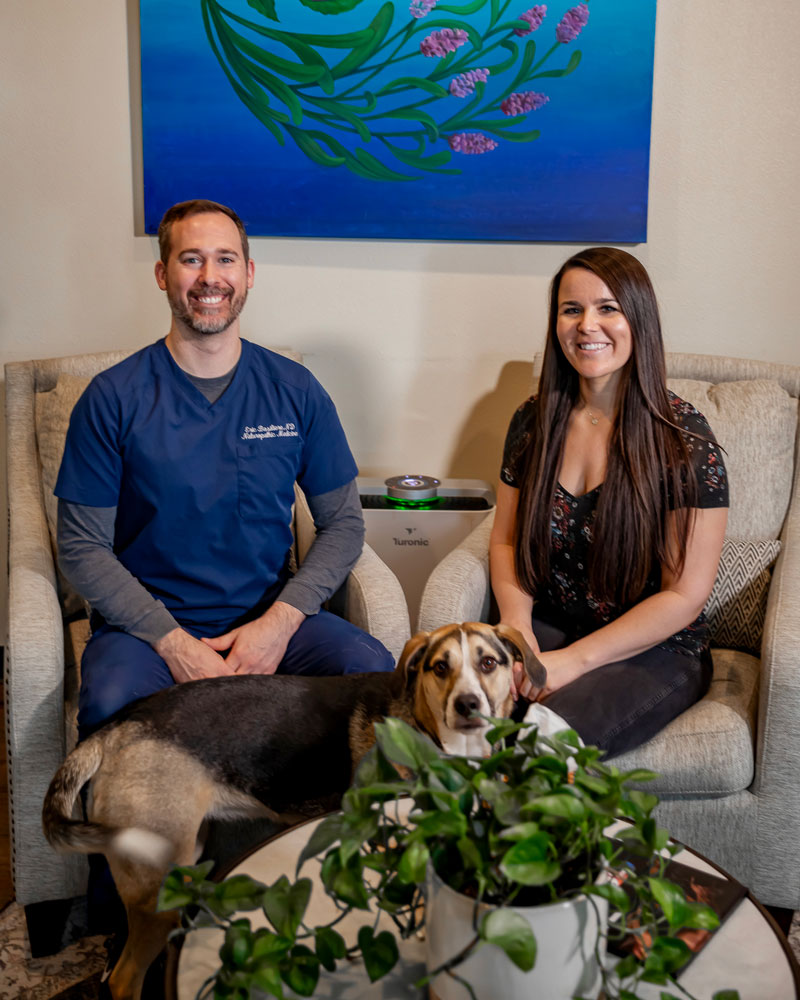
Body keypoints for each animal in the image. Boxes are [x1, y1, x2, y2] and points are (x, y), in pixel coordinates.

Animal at [42, 620, 544, 996]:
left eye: (489, 663)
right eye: (441, 668)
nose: (468, 705)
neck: (434, 733)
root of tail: (115, 729)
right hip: (157, 881)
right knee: (125, 977)